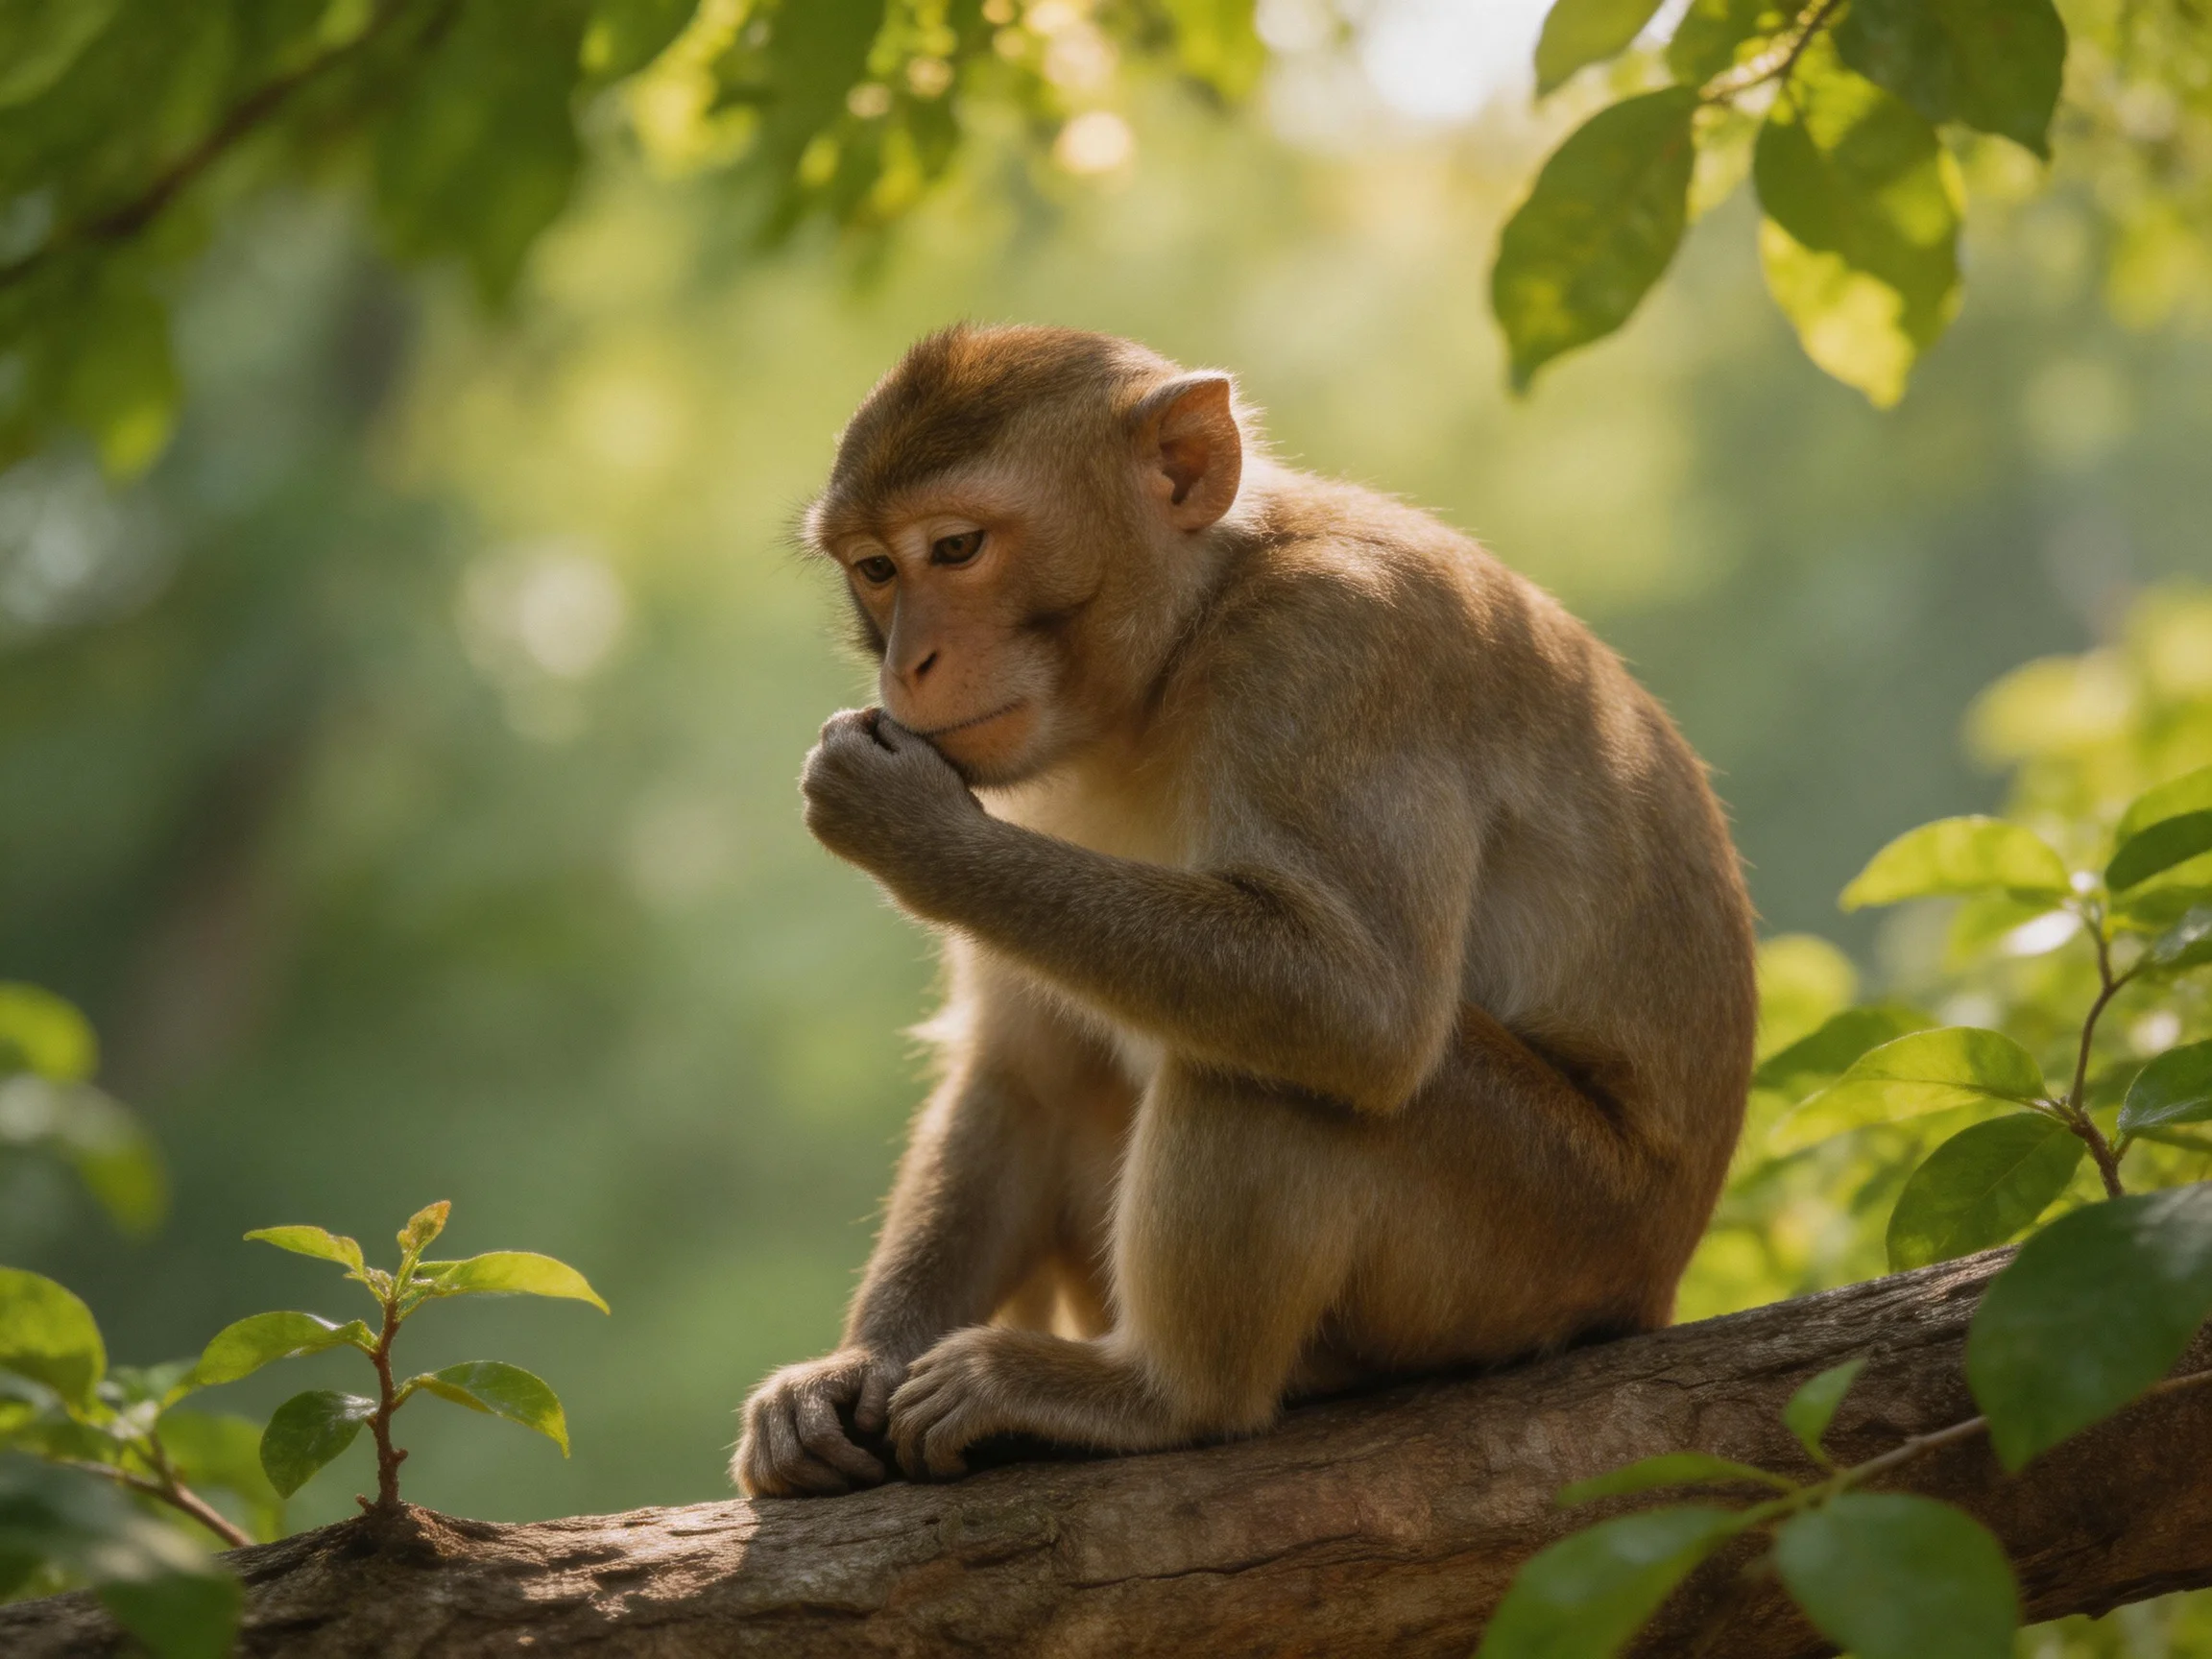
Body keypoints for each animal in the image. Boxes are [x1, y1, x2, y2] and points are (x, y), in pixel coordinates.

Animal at [732, 324, 1757, 1498]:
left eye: (955, 548)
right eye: (876, 570)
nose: (910, 663)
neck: (1183, 643)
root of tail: (1651, 1280)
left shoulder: (1333, 647)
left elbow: (1359, 1005)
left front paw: (910, 832)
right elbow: (1028, 1073)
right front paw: (852, 1368)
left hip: (1550, 1236)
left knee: (1275, 1062)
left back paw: (1157, 1396)